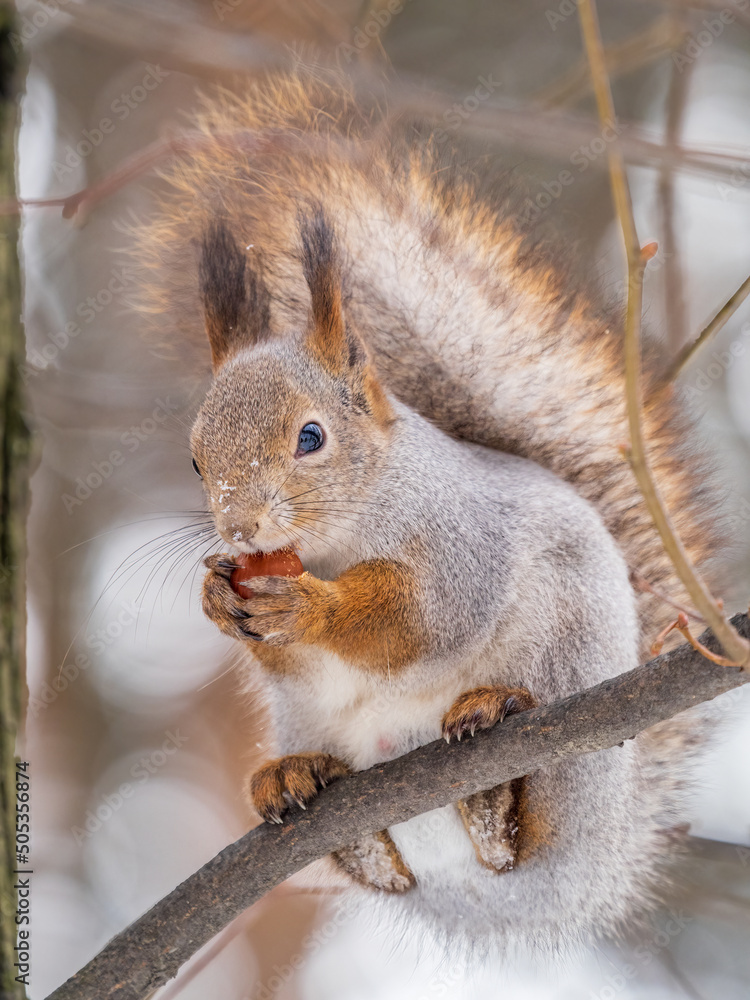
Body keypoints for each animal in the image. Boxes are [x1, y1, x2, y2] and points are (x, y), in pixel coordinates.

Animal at [130, 67, 721, 952]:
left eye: (311, 437)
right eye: (196, 458)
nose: (239, 529)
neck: (339, 534)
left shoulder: (462, 543)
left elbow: (420, 618)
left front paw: (310, 607)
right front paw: (215, 596)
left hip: (572, 715)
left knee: (525, 836)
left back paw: (493, 778)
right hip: (315, 735)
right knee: (394, 871)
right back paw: (313, 792)